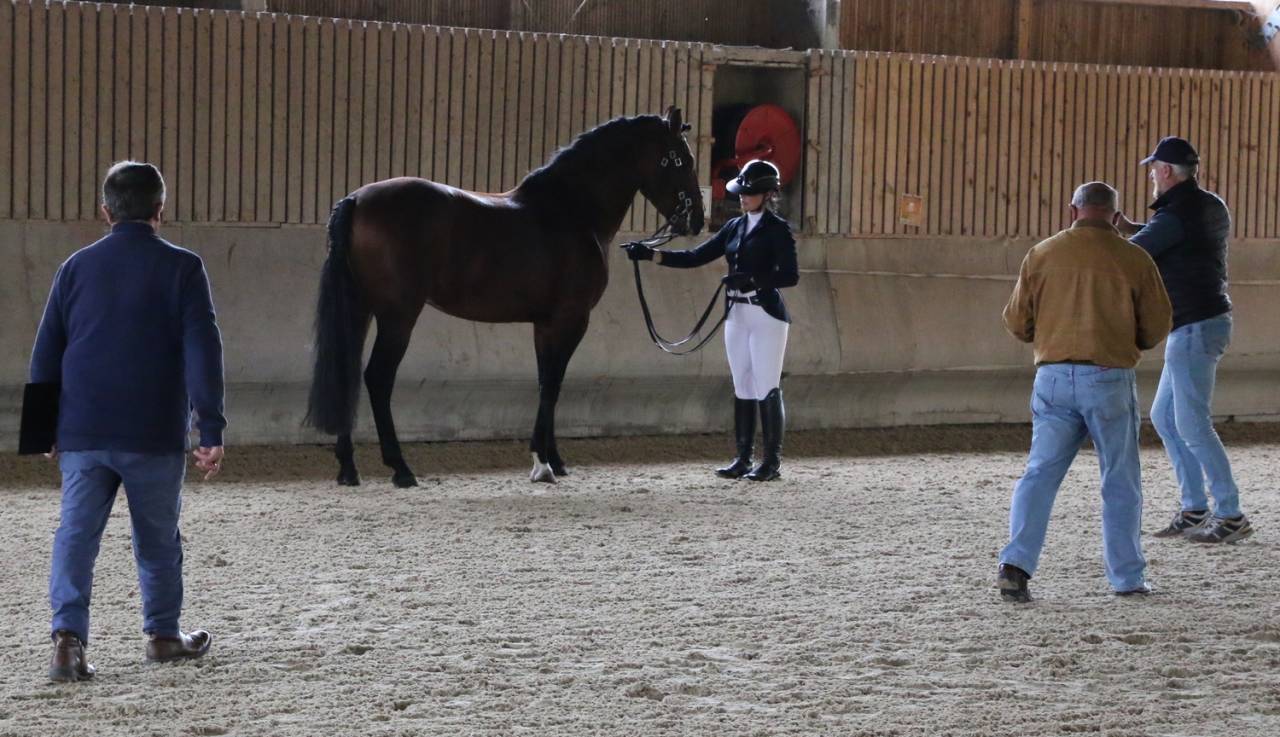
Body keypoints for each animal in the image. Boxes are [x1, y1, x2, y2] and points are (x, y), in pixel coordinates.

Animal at [305, 106, 705, 487]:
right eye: (681, 160)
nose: (698, 220)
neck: (572, 210)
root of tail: (356, 199)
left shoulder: (545, 324)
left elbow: (547, 383)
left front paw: (552, 459)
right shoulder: (571, 319)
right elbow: (553, 384)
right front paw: (543, 463)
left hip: (360, 309)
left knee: (348, 372)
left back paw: (348, 469)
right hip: (398, 316)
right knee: (377, 378)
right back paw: (401, 469)